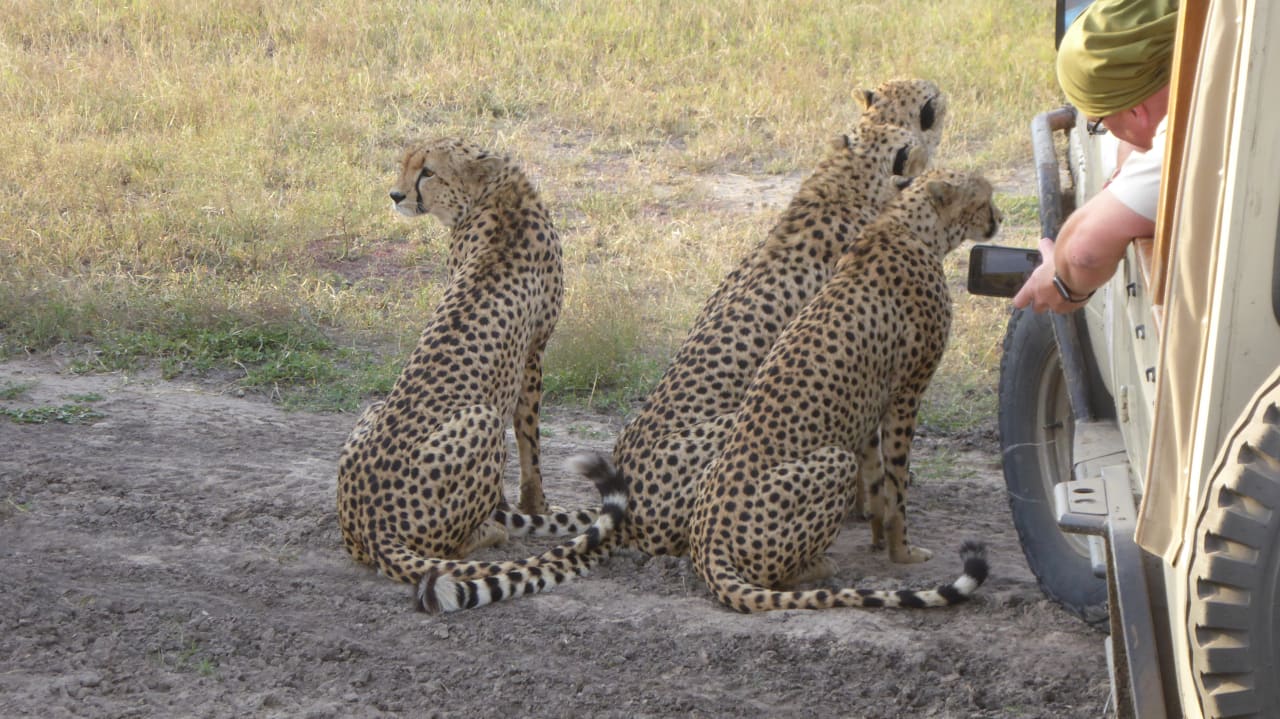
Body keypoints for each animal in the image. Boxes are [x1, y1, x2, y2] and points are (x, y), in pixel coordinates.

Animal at [337, 138, 616, 587]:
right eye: (405, 164)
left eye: (427, 171)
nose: (395, 195)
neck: (497, 193)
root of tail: (371, 524)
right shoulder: (534, 354)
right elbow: (529, 442)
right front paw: (537, 506)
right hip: (482, 418)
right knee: (449, 547)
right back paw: (493, 529)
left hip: (375, 407)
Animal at [413, 81, 946, 613]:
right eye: (929, 103)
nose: (941, 97)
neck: (847, 184)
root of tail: (627, 495)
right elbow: (873, 458)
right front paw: (878, 519)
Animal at [686, 168, 1000, 613]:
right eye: (984, 200)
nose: (999, 219)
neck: (909, 226)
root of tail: (707, 540)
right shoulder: (906, 394)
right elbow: (897, 484)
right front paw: (903, 552)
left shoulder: (869, 406)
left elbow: (877, 480)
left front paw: (877, 537)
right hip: (833, 461)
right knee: (773, 577)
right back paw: (818, 566)